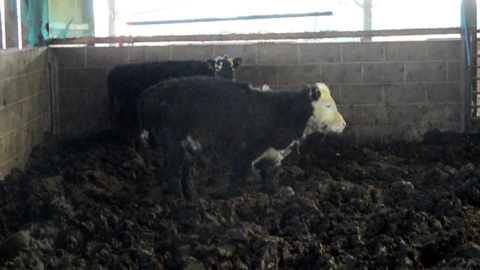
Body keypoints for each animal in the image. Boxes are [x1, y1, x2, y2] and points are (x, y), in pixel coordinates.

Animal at [138, 76, 344, 200]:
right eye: (327, 105)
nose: (343, 124)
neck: (281, 111)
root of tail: (150, 94)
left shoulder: (271, 156)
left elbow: (271, 181)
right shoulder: (242, 153)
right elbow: (237, 181)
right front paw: (231, 200)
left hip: (186, 147)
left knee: (185, 172)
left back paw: (191, 197)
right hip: (172, 144)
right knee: (174, 172)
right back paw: (179, 200)